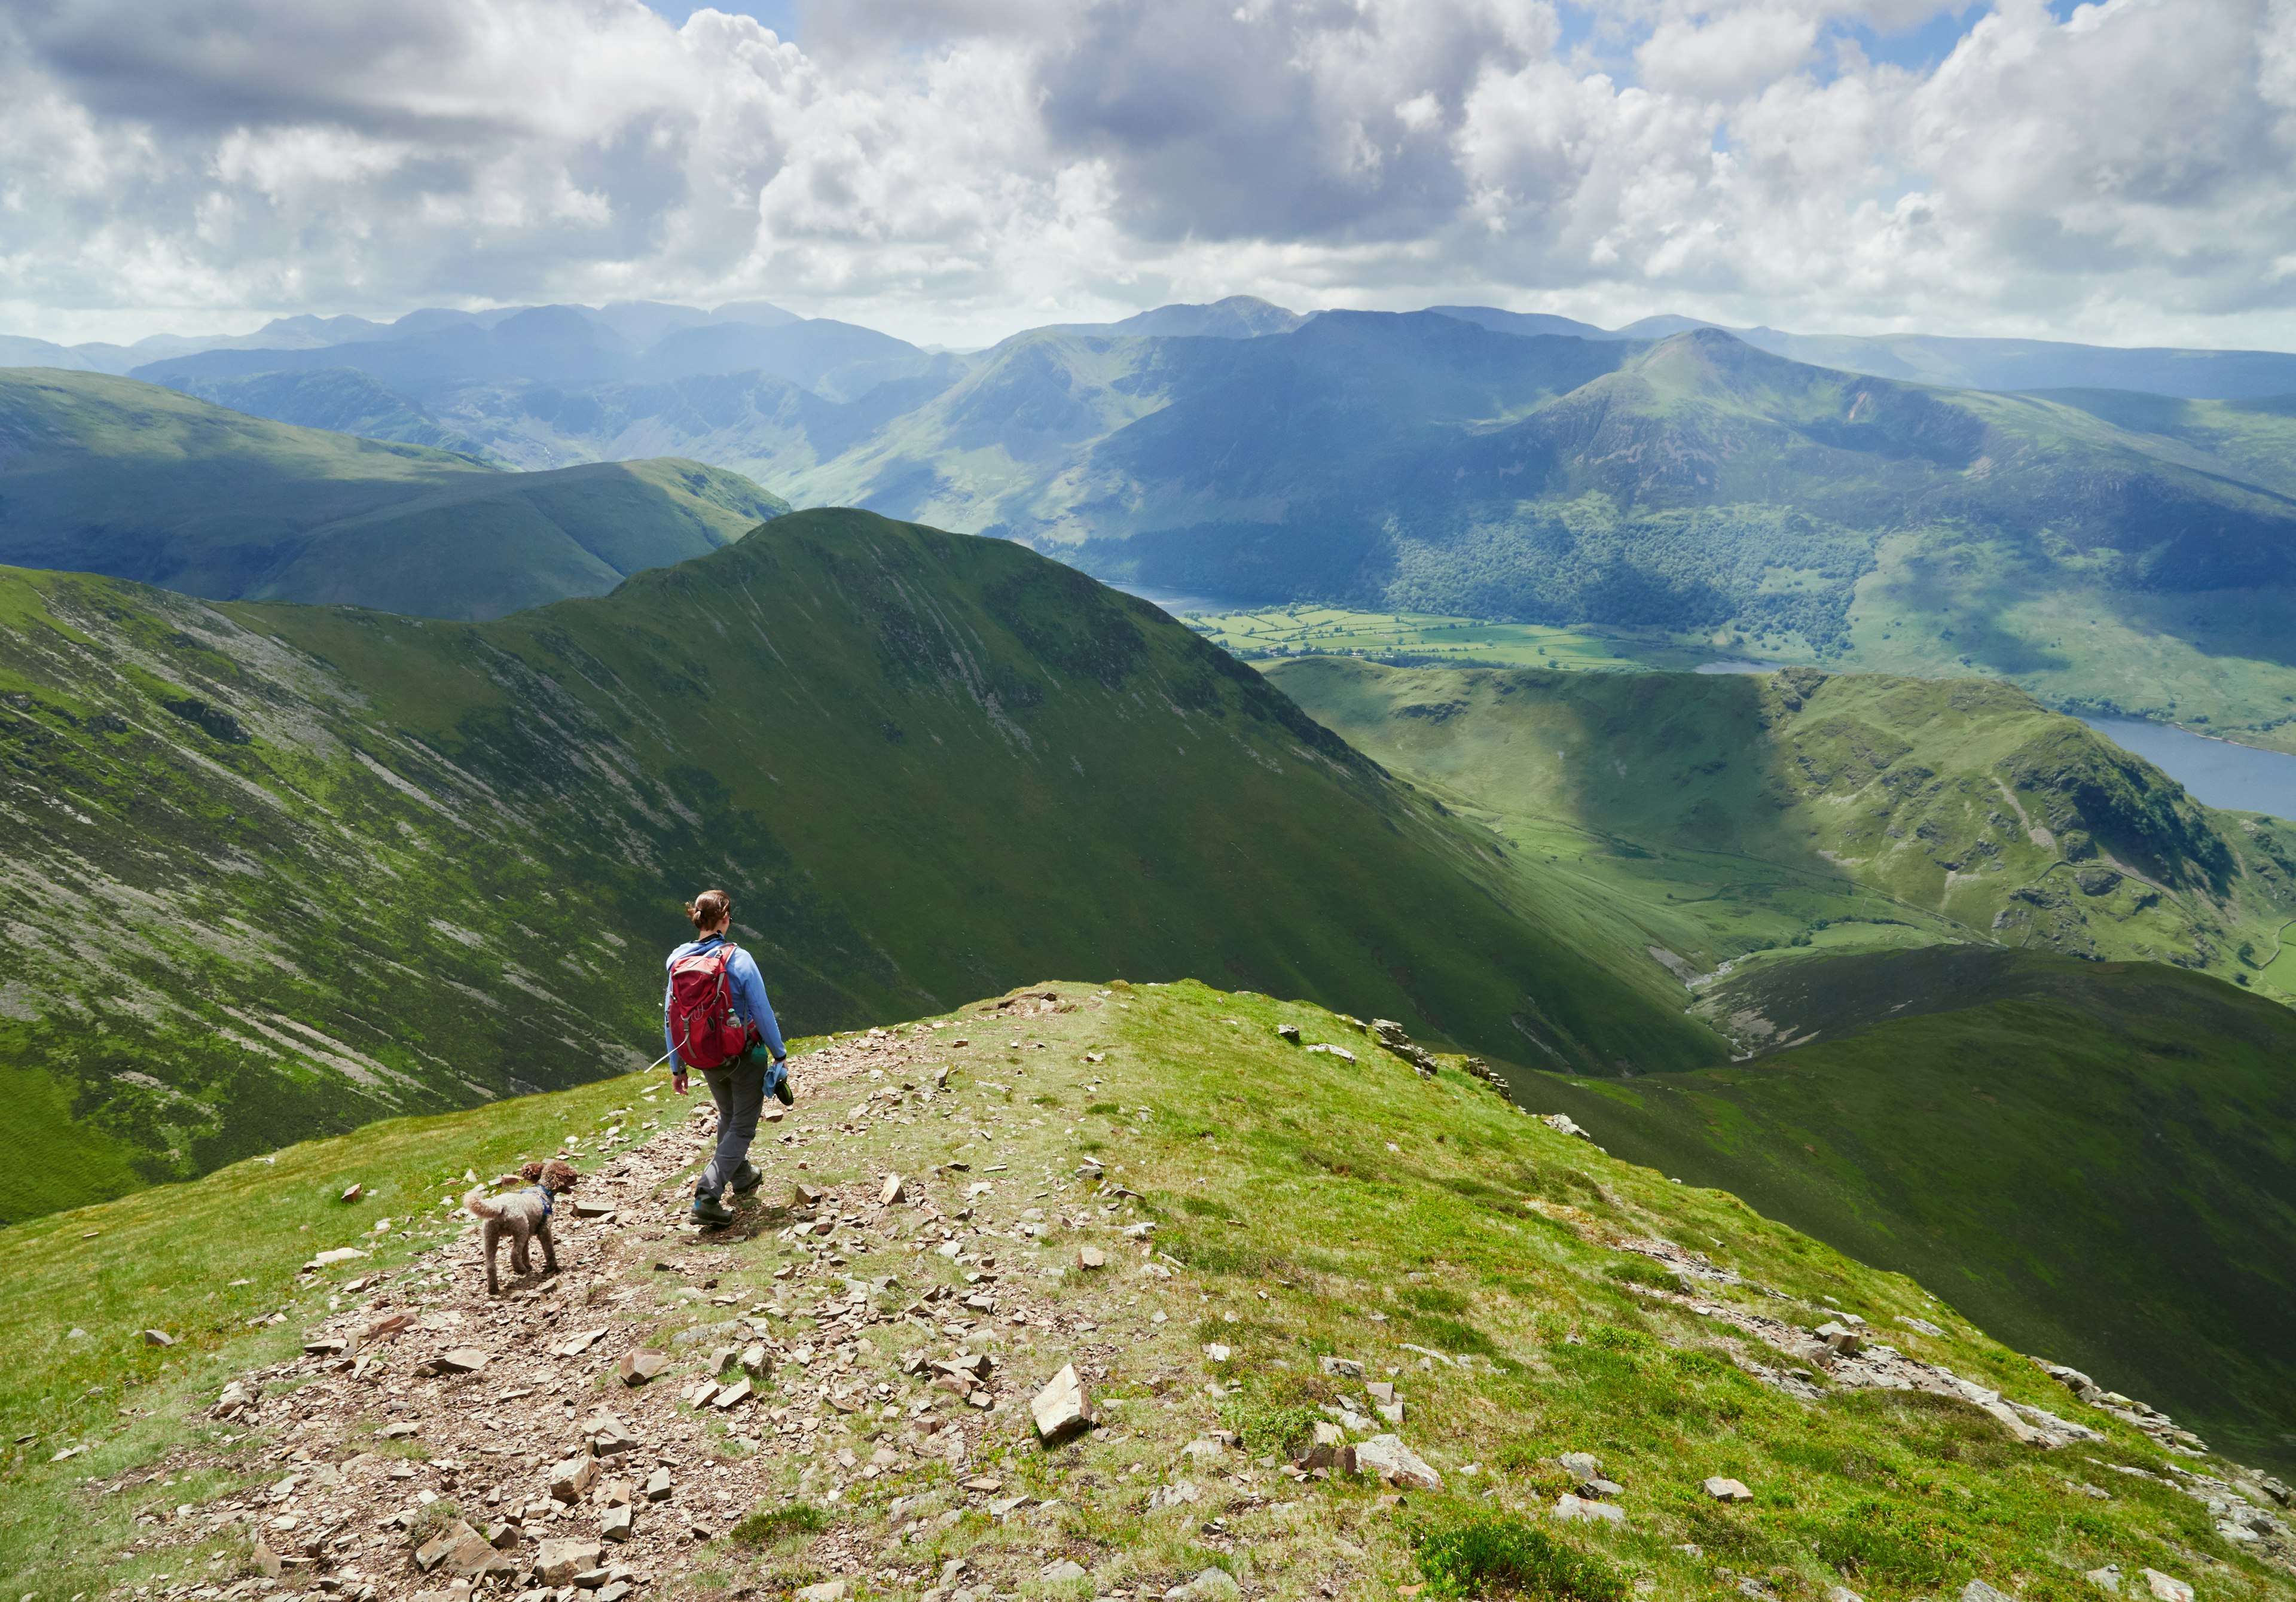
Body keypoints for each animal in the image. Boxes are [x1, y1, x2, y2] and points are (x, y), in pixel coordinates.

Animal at [461, 1152, 578, 1294]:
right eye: (568, 1170)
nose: (577, 1175)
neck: (543, 1192)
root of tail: (499, 1207)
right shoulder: (544, 1230)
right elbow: (549, 1251)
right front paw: (554, 1268)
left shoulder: (528, 1235)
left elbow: (525, 1252)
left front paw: (528, 1265)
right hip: (520, 1228)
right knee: (514, 1253)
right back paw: (520, 1270)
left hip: (490, 1236)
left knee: (490, 1264)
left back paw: (493, 1288)